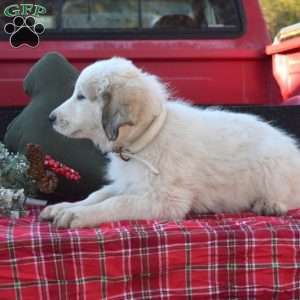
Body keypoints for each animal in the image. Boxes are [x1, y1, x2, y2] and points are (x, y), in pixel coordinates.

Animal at [40, 57, 300, 229]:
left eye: (81, 97)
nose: (50, 117)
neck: (146, 139)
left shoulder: (164, 199)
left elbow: (117, 203)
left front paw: (78, 215)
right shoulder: (129, 183)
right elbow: (99, 194)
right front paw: (65, 206)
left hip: (273, 169)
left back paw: (270, 205)